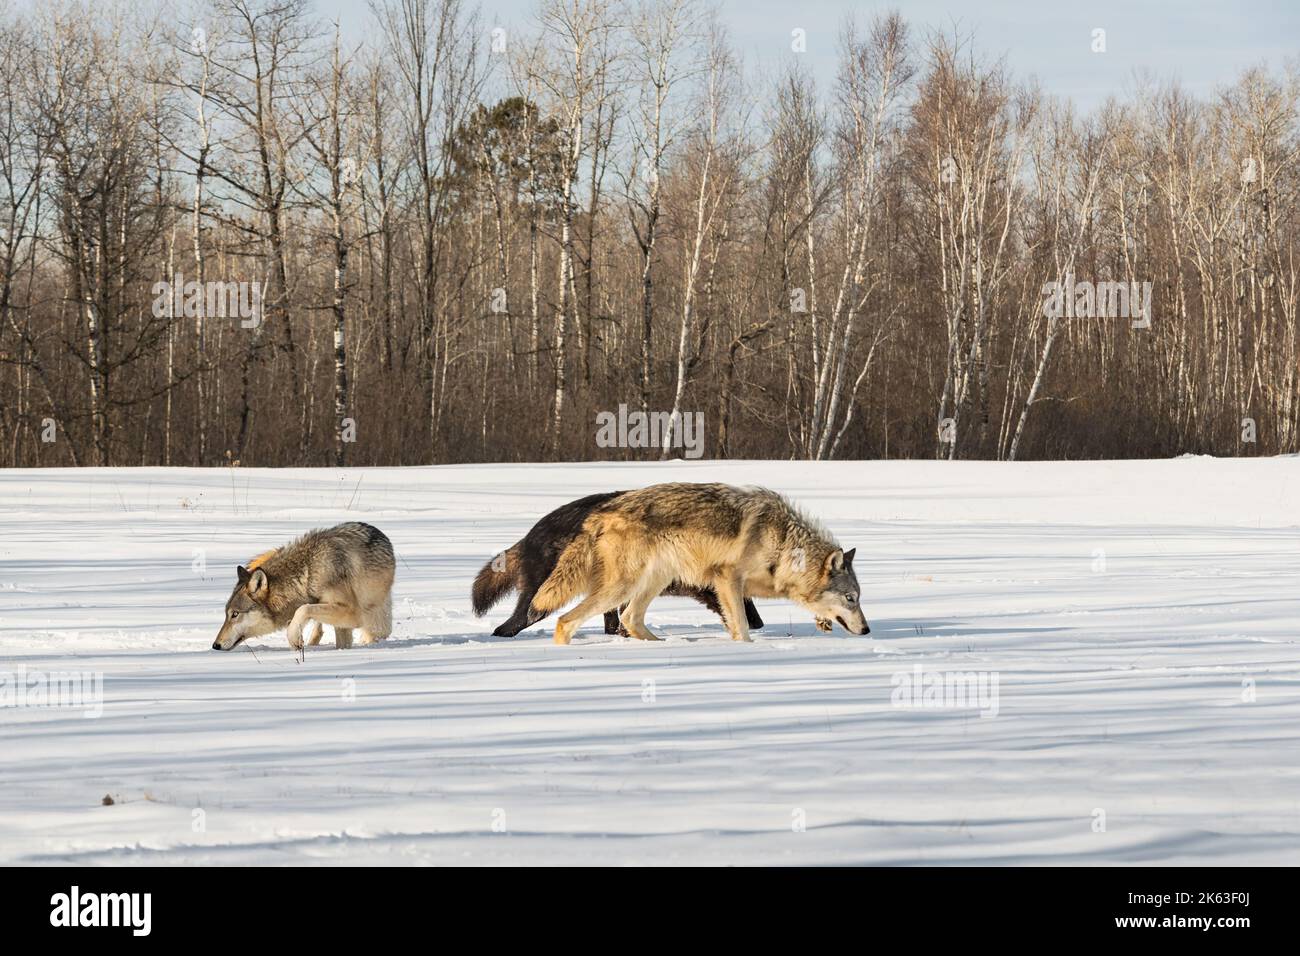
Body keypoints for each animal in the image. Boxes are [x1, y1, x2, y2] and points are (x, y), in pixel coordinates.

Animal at [210, 522, 395, 650]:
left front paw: (294, 639)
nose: (215, 645)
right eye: (227, 614)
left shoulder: (352, 613)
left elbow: (303, 609)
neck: (308, 572)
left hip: (374, 619)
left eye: (235, 614)